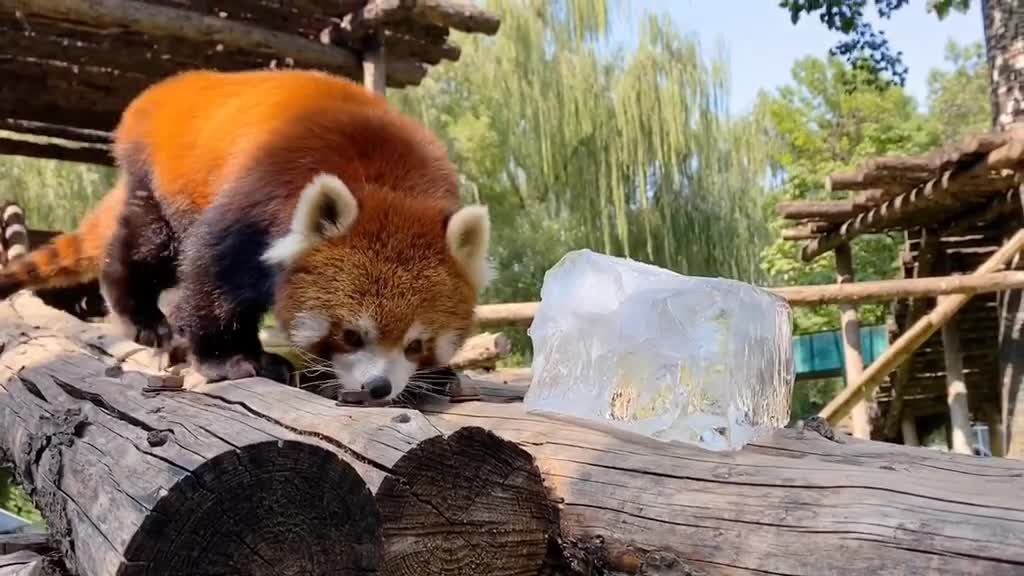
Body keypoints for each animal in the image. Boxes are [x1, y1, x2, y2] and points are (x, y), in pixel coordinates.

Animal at [0, 69, 495, 401]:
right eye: (352, 335)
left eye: (416, 345)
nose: (378, 387)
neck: (386, 179)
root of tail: (166, 88)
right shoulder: (262, 193)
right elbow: (213, 271)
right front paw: (232, 360)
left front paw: (440, 375)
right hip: (160, 179)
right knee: (147, 248)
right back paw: (147, 321)